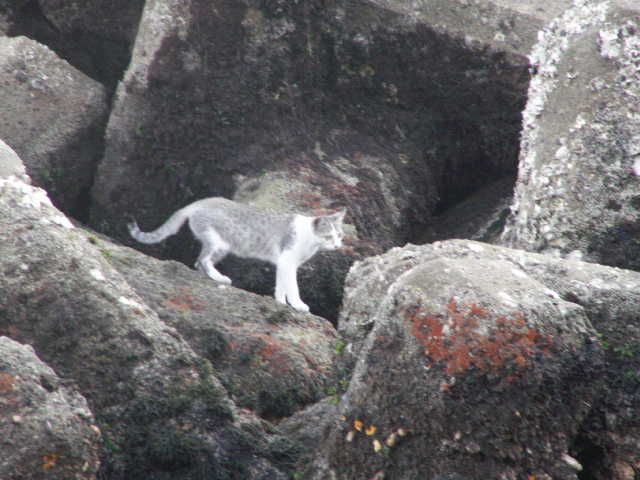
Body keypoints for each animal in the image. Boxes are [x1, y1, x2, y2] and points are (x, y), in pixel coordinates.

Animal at [126, 197, 344, 314]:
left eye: (340, 235)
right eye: (328, 236)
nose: (337, 245)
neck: (310, 241)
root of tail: (199, 203)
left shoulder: (283, 263)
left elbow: (281, 285)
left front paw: (280, 302)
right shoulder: (288, 261)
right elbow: (292, 287)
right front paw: (298, 305)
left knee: (198, 262)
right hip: (220, 242)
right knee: (203, 260)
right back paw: (220, 277)